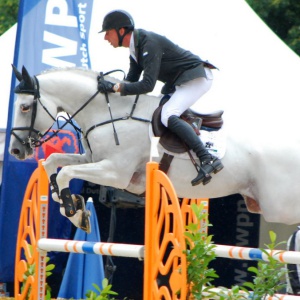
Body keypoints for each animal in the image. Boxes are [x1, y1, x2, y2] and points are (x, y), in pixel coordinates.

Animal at [9, 66, 300, 232]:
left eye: (24, 107)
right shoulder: (92, 158)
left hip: (279, 208)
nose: (15, 152)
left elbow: (66, 172)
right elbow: (54, 163)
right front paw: (73, 208)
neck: (108, 112)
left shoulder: (116, 173)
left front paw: (73, 209)